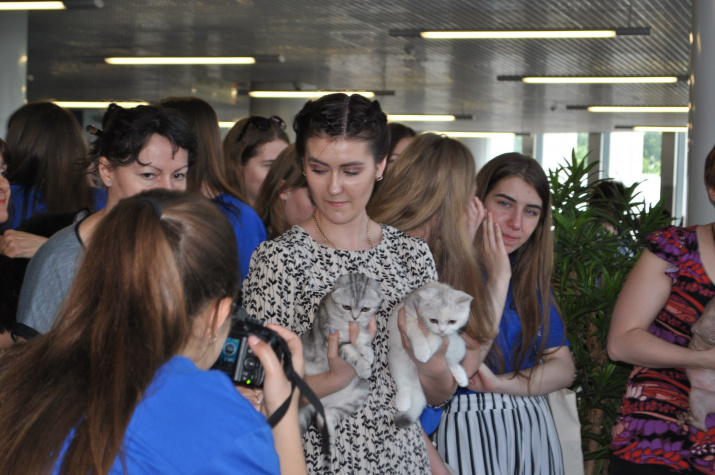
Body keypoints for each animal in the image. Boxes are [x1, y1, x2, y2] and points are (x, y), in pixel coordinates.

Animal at [299, 272, 383, 443]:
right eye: (346, 307)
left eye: (365, 309)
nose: (355, 317)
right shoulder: (332, 337)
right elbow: (349, 350)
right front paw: (363, 367)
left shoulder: (362, 327)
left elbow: (363, 337)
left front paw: (368, 353)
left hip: (356, 395)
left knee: (325, 417)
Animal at [388, 282, 472, 428]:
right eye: (433, 320)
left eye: (452, 321)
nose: (442, 330)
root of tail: (417, 381)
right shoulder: (407, 318)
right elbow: (417, 332)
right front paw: (422, 352)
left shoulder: (447, 336)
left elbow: (437, 338)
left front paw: (431, 346)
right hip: (396, 360)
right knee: (404, 384)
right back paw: (403, 402)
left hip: (460, 346)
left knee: (451, 362)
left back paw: (461, 377)